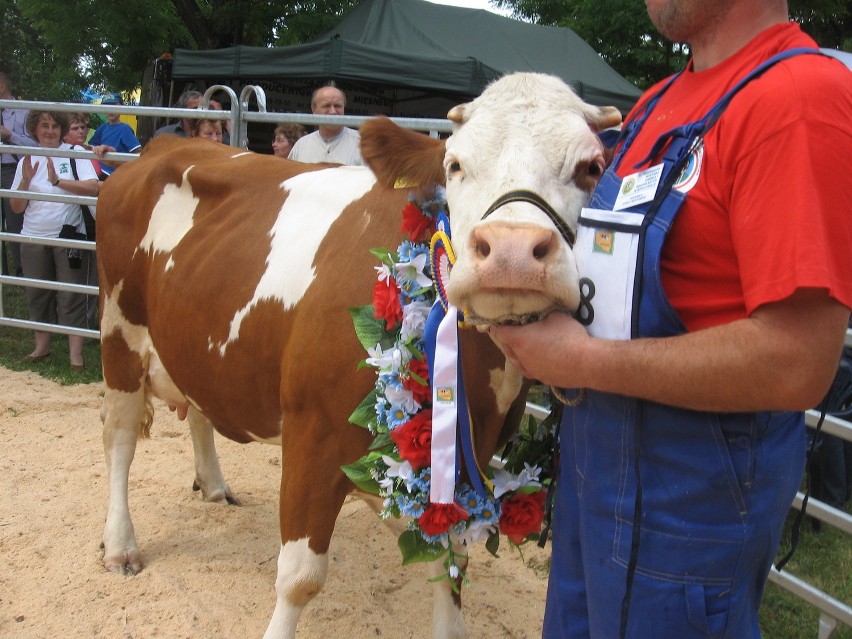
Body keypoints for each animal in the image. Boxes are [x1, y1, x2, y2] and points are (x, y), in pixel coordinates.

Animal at [96, 71, 624, 639]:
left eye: (591, 168)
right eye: (455, 165)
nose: (511, 252)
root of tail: (163, 146)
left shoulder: (464, 461)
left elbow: (449, 561)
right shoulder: (312, 435)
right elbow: (300, 578)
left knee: (197, 407)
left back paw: (213, 484)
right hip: (119, 332)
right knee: (119, 438)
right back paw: (120, 544)